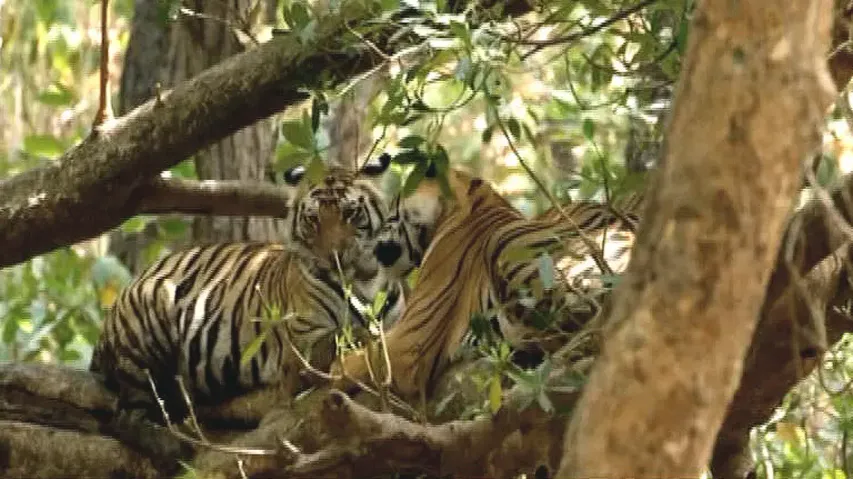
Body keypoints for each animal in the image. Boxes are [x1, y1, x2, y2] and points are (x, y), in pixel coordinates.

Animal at [90, 156, 402, 425]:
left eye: (350, 213)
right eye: (313, 220)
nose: (333, 257)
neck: (364, 281)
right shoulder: (303, 343)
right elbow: (347, 336)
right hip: (153, 306)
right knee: (131, 412)